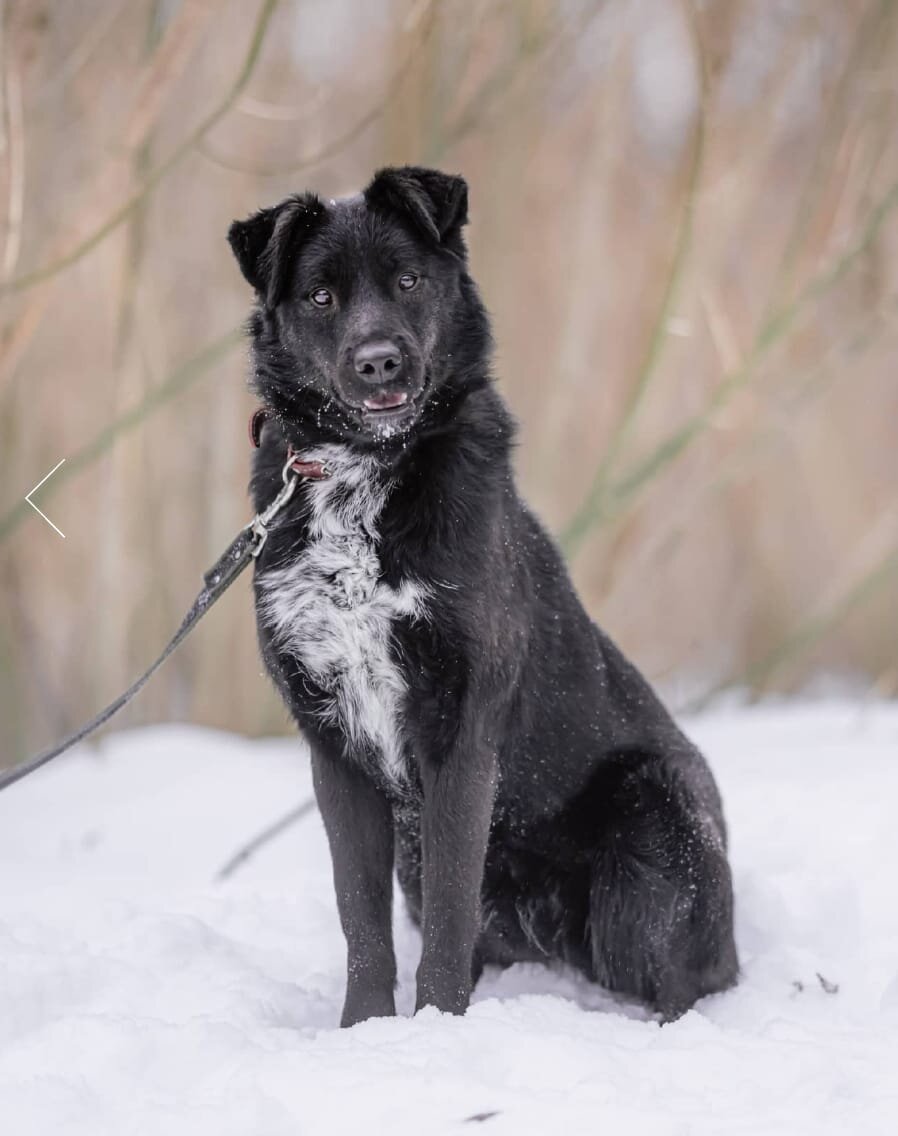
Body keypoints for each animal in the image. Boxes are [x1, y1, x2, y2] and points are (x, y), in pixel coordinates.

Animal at [230, 168, 736, 1031]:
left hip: (654, 838)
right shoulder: (336, 748)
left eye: (407, 280)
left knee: (686, 980)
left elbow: (449, 915)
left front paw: (436, 1028)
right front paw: (365, 1031)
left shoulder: (460, 737)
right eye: (322, 296)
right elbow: (359, 917)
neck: (364, 477)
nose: (379, 363)